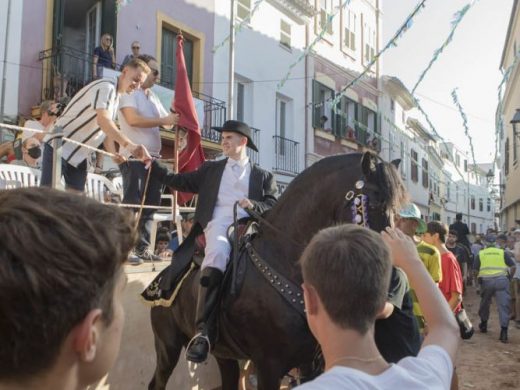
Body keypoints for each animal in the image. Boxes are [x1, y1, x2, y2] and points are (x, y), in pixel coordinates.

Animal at [146, 152, 406, 390]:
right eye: (375, 202)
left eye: (396, 209)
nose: (392, 276)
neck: (284, 260)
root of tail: (160, 279)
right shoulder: (268, 365)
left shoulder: (308, 363)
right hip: (167, 345)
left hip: (223, 354)